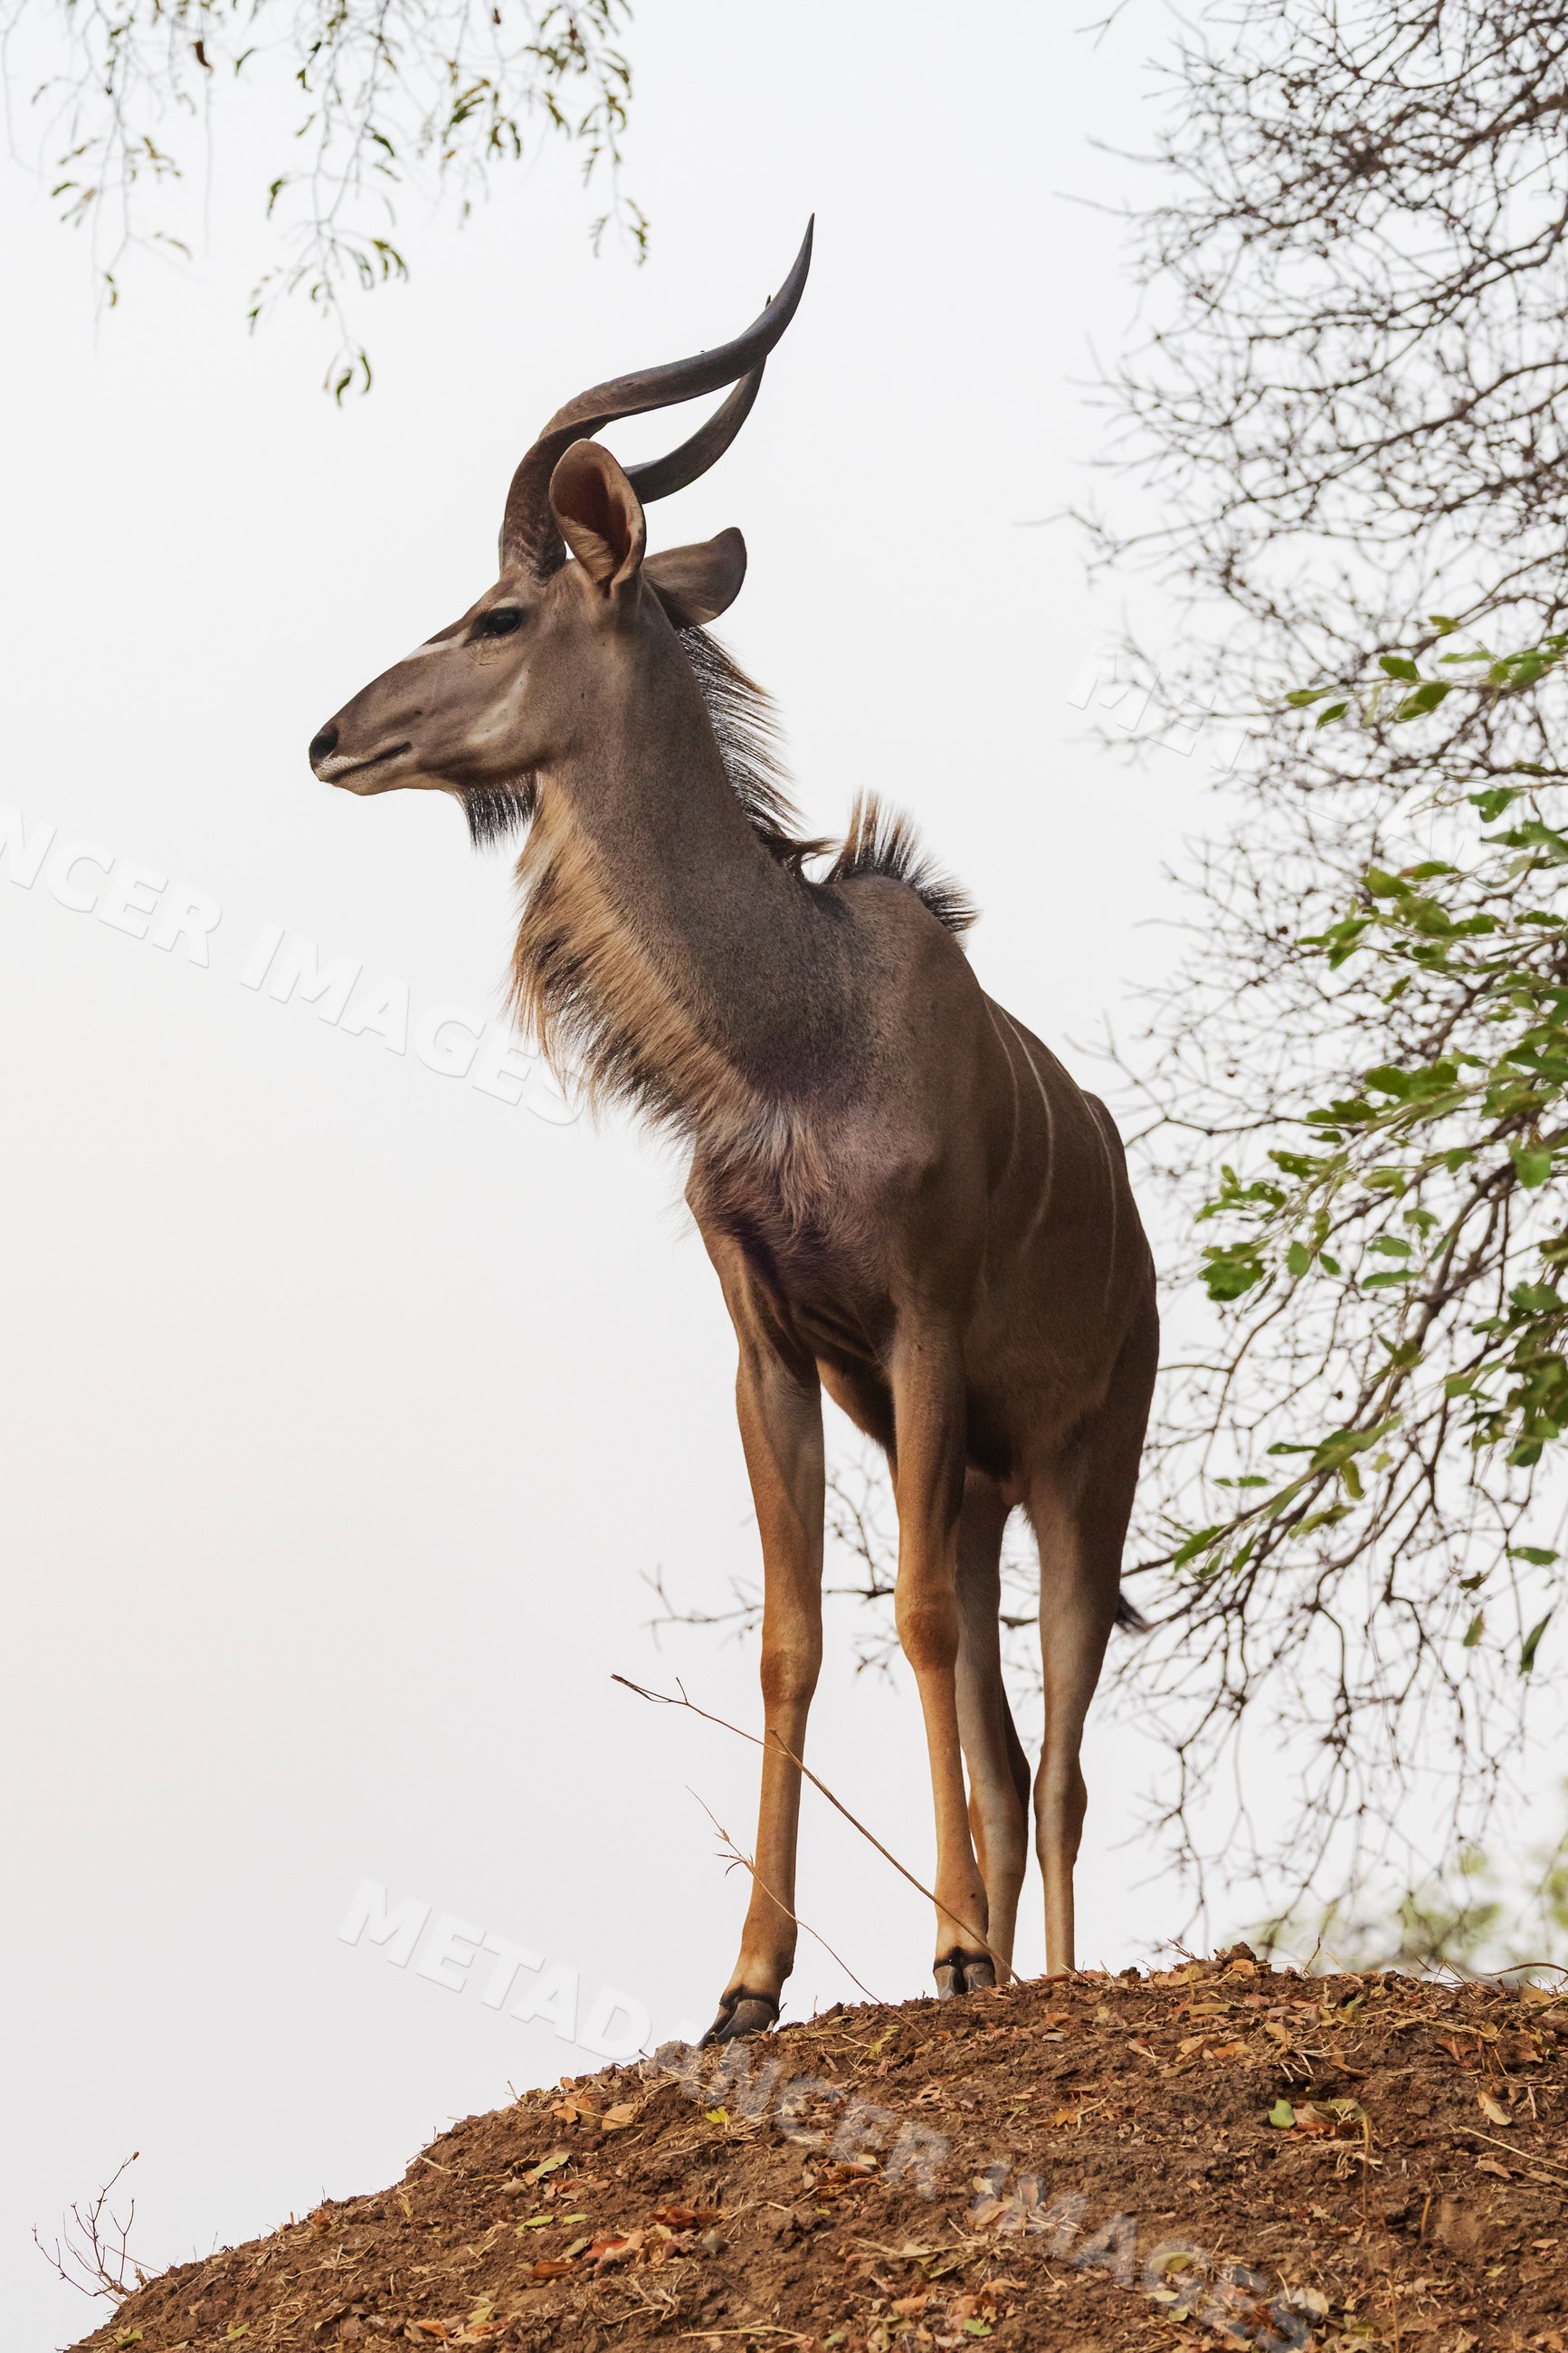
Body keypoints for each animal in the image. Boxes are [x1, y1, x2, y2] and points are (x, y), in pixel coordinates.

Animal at [308, 225, 1157, 2040]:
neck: (794, 1034)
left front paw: (949, 1954)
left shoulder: (915, 1328)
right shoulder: (772, 1349)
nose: (332, 734)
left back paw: (1041, 1969)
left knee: (1056, 1753)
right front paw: (747, 1985)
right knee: (1002, 1744)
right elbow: (791, 1638)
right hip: (974, 1475)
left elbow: (908, 1623)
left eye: (496, 611)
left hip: (1080, 1466)